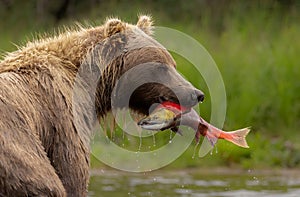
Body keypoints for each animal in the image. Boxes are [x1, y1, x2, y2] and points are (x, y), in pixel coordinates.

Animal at [0, 16, 204, 196]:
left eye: (173, 64)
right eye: (161, 66)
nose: (196, 94)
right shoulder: (64, 118)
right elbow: (72, 173)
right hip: (19, 145)